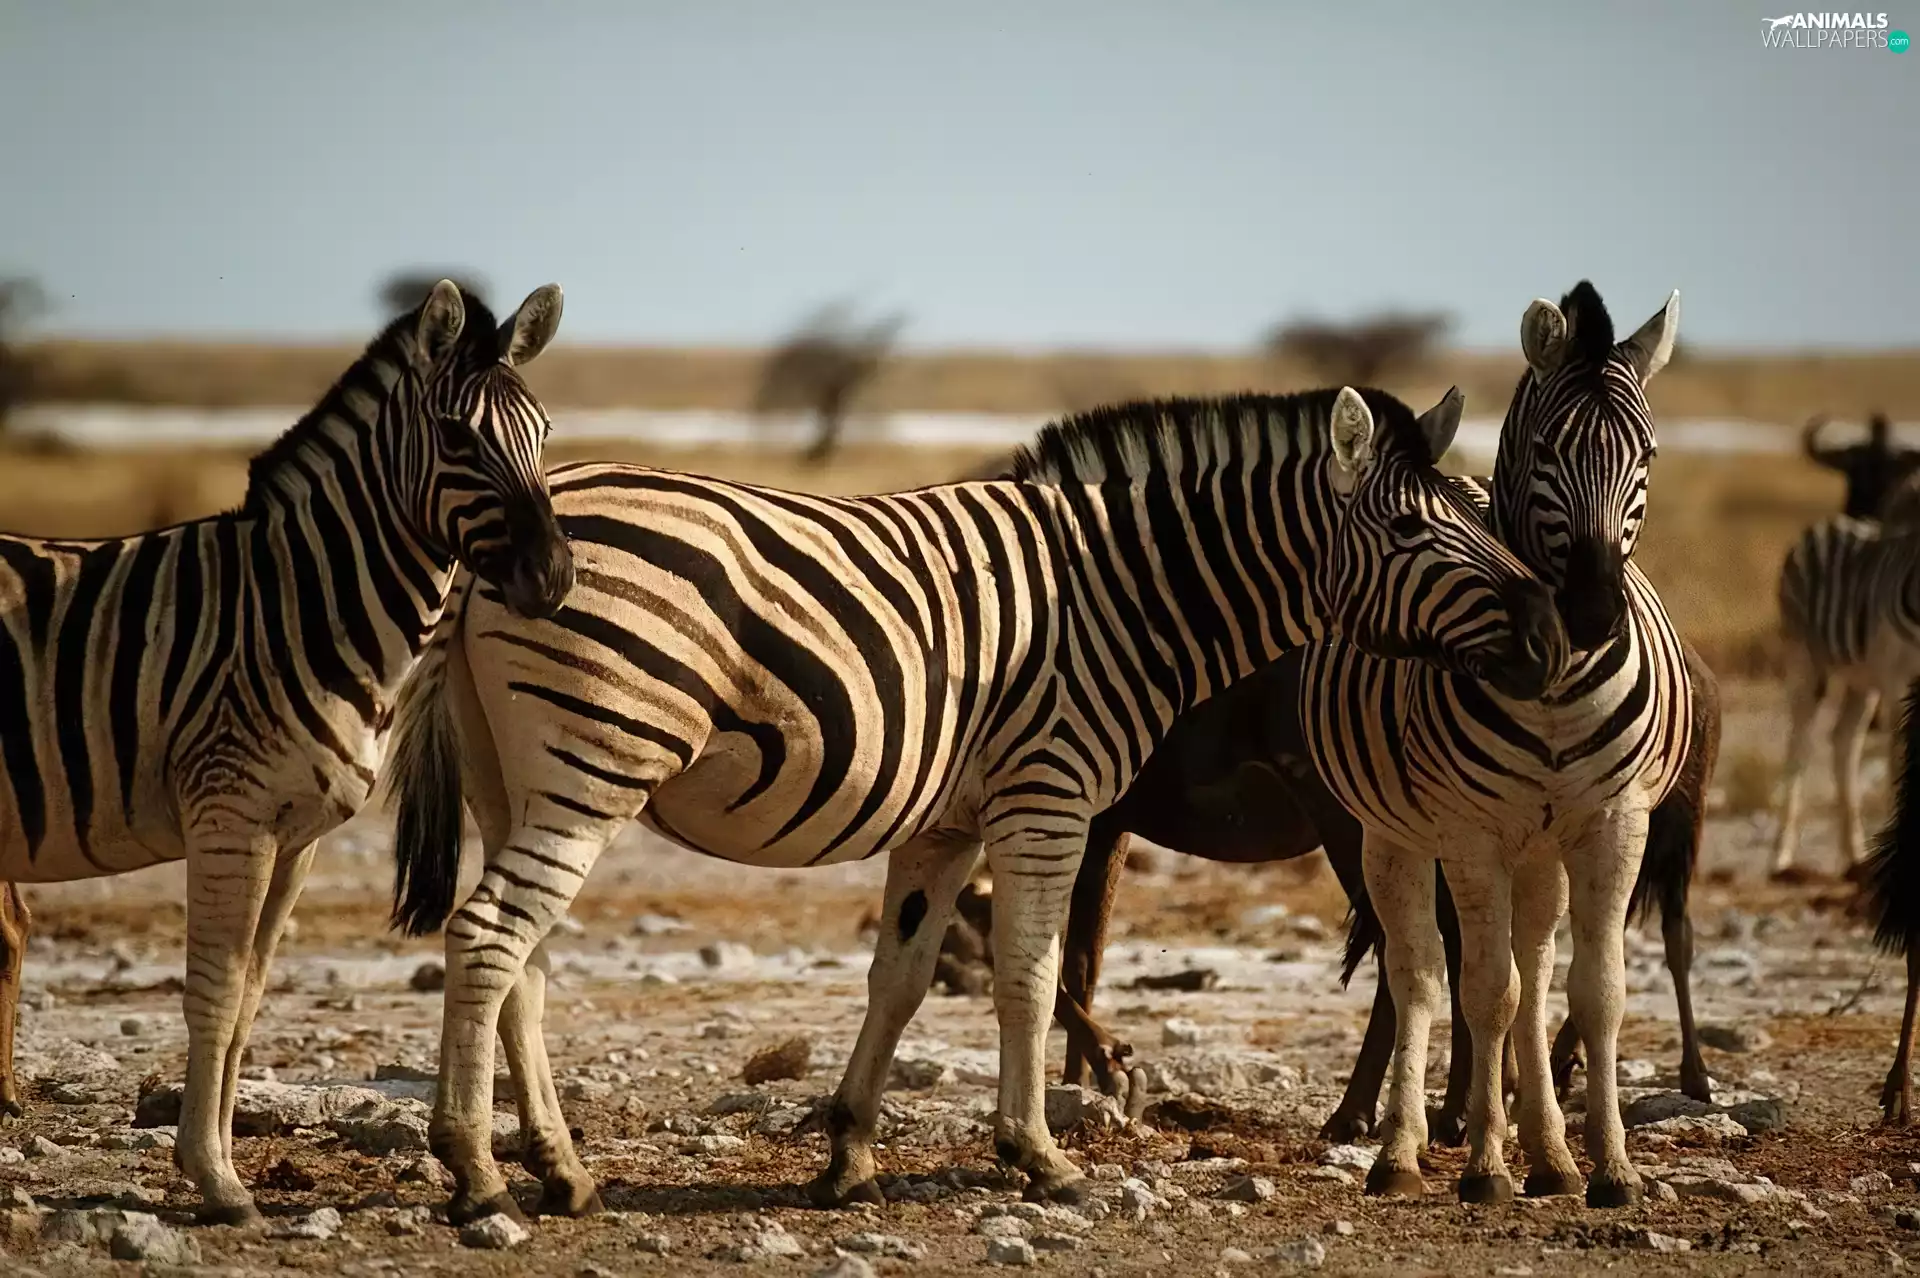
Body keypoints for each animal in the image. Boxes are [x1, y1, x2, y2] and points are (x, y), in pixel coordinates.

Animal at [0, 281, 574, 1222]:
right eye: (457, 437)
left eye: (545, 433)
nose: (556, 578)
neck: (303, 606)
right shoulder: (228, 814)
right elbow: (215, 989)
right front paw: (215, 1178)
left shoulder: (297, 834)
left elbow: (250, 1000)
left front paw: (219, 1162)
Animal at [378, 384, 1572, 1225]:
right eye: (1414, 533)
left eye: (1480, 516)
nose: (1551, 633)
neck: (1122, 594)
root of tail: (497, 543)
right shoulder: (1050, 796)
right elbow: (1032, 975)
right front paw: (1039, 1156)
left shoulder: (948, 822)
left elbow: (903, 979)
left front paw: (850, 1156)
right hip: (595, 762)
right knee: (489, 937)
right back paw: (478, 1174)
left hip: (512, 780)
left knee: (522, 960)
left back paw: (562, 1172)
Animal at [1298, 282, 1693, 1208]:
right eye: (1547, 451)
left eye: (1650, 453)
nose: (1587, 614)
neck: (1554, 689)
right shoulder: (1470, 834)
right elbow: (1483, 992)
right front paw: (1482, 1165)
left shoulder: (1615, 823)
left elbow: (1595, 993)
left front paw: (1609, 1167)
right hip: (1395, 836)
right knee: (1419, 976)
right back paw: (1405, 1154)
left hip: (1541, 846)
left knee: (1537, 967)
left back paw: (1548, 1155)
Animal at [1770, 514, 1920, 878]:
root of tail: (1827, 523)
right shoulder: (1898, 682)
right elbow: (1898, 761)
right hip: (1806, 662)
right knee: (1799, 745)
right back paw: (1781, 855)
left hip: (1860, 681)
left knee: (1844, 741)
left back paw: (1856, 855)